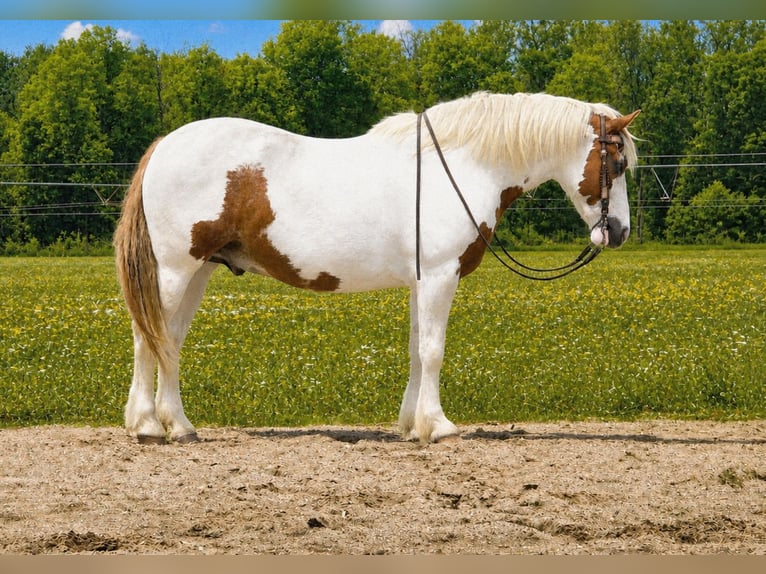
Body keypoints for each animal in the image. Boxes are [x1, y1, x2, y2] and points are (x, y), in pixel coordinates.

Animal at [114, 91, 640, 445]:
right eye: (616, 162)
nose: (617, 231)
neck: (462, 167)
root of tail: (164, 145)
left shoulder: (422, 282)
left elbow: (415, 351)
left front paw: (412, 424)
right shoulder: (441, 276)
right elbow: (433, 351)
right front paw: (439, 427)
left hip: (199, 271)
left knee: (170, 341)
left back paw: (179, 425)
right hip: (175, 271)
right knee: (147, 338)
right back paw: (147, 425)